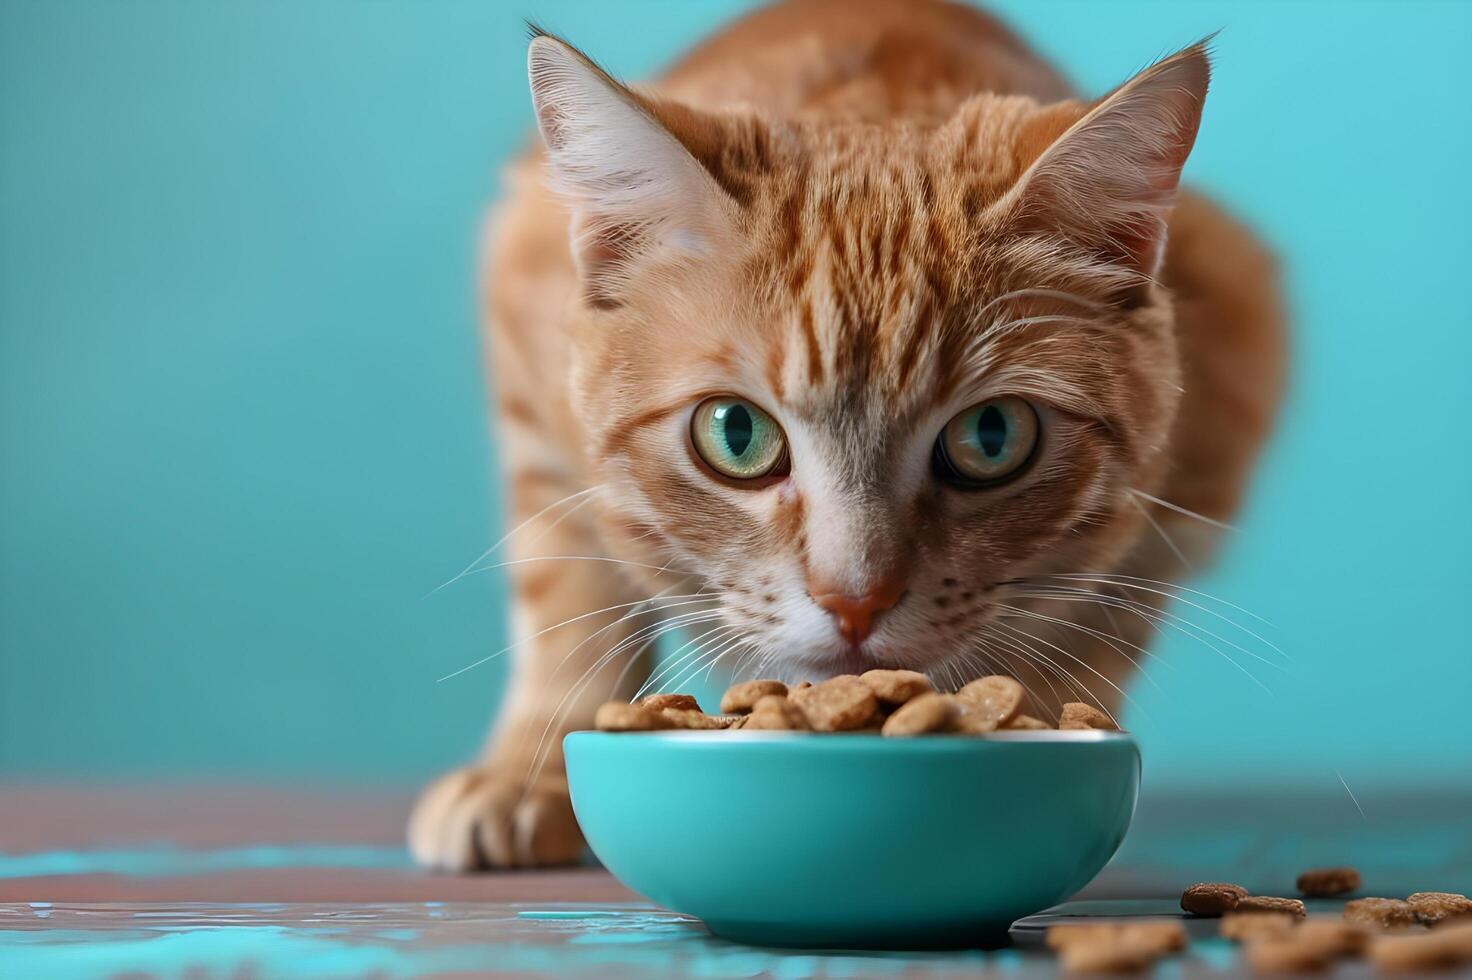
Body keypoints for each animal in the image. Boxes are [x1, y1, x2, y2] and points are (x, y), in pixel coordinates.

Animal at [409, 0, 1283, 871]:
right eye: (736, 434)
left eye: (992, 436)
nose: (855, 603)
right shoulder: (530, 382)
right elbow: (566, 595)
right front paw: (527, 772)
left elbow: (1092, 628)